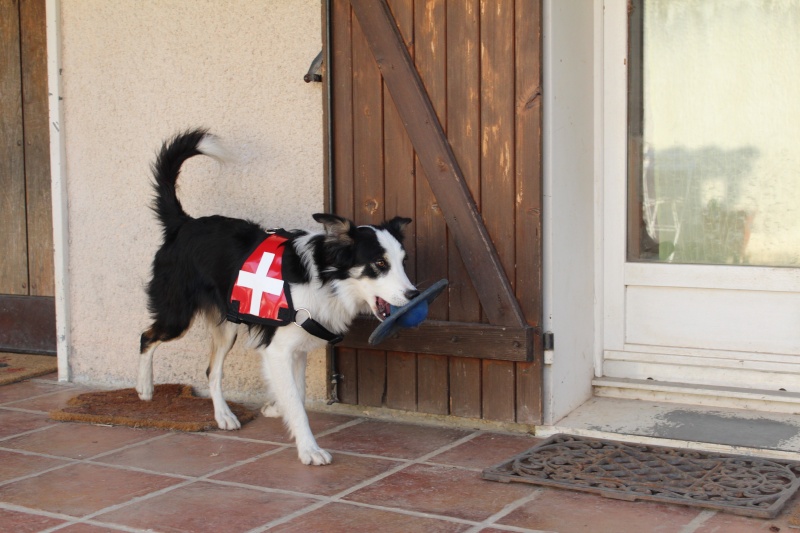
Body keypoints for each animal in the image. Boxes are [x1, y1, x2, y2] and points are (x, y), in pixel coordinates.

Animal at [138, 130, 418, 466]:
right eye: (379, 263)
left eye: (403, 262)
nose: (414, 294)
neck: (325, 277)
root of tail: (184, 224)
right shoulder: (278, 350)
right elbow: (297, 403)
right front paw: (309, 448)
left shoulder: (297, 350)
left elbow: (297, 392)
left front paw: (277, 407)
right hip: (176, 316)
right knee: (146, 337)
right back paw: (144, 388)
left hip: (227, 325)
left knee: (212, 370)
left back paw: (223, 416)